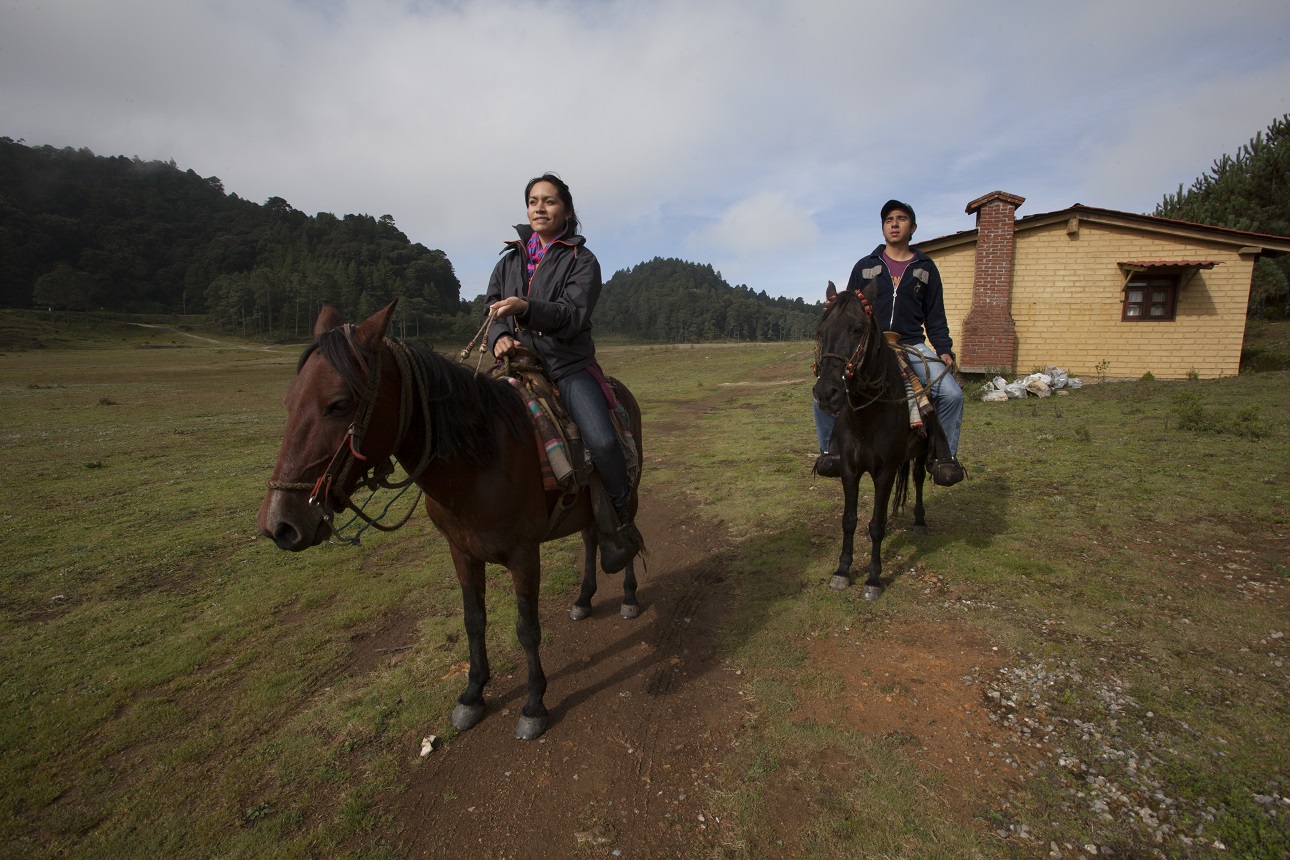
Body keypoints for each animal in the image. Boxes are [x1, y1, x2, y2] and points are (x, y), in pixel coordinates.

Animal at [256, 301, 644, 740]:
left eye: (338, 404)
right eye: (289, 401)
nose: (279, 523)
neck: (480, 460)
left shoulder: (524, 555)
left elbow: (527, 628)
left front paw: (533, 705)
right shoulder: (461, 551)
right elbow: (473, 621)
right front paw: (472, 695)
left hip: (626, 491)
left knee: (625, 535)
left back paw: (629, 597)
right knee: (591, 538)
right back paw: (583, 600)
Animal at [811, 280, 935, 600]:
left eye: (857, 329)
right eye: (821, 331)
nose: (826, 393)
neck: (869, 415)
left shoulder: (885, 471)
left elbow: (876, 524)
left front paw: (873, 579)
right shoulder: (849, 470)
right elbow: (849, 520)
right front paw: (843, 571)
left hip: (920, 454)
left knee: (918, 479)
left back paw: (920, 520)